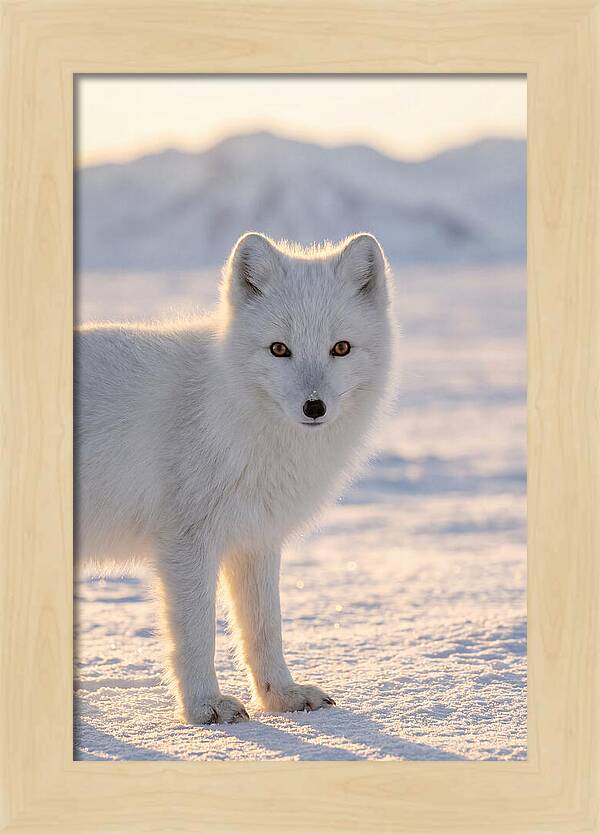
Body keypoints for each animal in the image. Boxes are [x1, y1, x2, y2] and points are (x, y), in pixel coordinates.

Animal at [75, 231, 396, 724]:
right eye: (279, 349)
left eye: (340, 348)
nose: (314, 407)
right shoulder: (186, 542)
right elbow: (196, 634)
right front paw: (204, 707)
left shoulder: (255, 537)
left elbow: (265, 628)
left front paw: (281, 696)